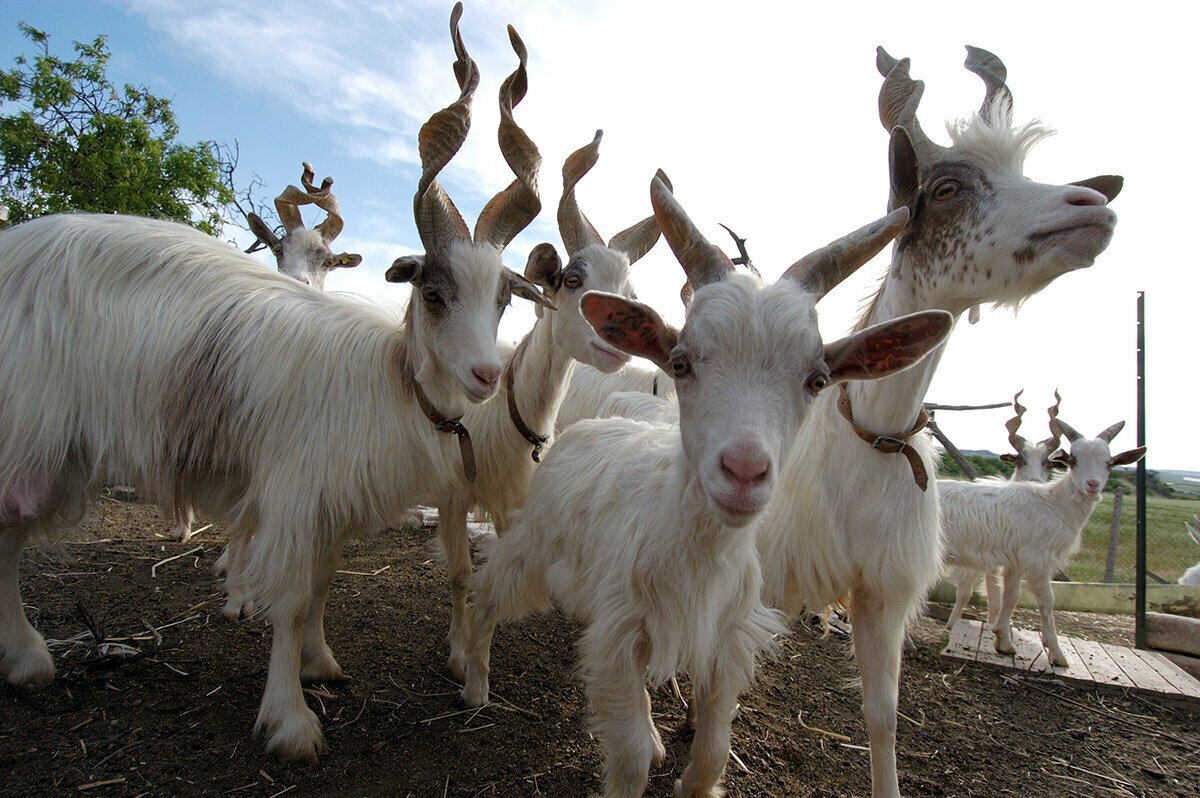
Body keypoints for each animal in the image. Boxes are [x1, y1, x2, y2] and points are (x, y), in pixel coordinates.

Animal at [0, 3, 552, 758]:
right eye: (435, 293)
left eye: (503, 298)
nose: (486, 373)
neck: (387, 383)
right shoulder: (293, 492)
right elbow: (290, 600)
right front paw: (291, 721)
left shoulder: (331, 506)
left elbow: (319, 588)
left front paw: (320, 663)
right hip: (29, 434)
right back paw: (28, 657)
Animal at [458, 176, 955, 796]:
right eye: (681, 362)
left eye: (817, 380)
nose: (743, 472)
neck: (694, 550)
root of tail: (584, 428)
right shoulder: (621, 634)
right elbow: (627, 759)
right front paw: (641, 754)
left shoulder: (726, 639)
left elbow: (714, 752)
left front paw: (686, 769)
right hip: (534, 546)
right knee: (488, 589)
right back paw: (473, 682)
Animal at [936, 417, 1142, 667]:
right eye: (1073, 460)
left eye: (1109, 463)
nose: (1092, 484)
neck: (1055, 504)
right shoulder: (1037, 557)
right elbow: (1046, 600)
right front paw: (1057, 654)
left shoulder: (1015, 560)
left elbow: (1011, 596)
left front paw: (1004, 642)